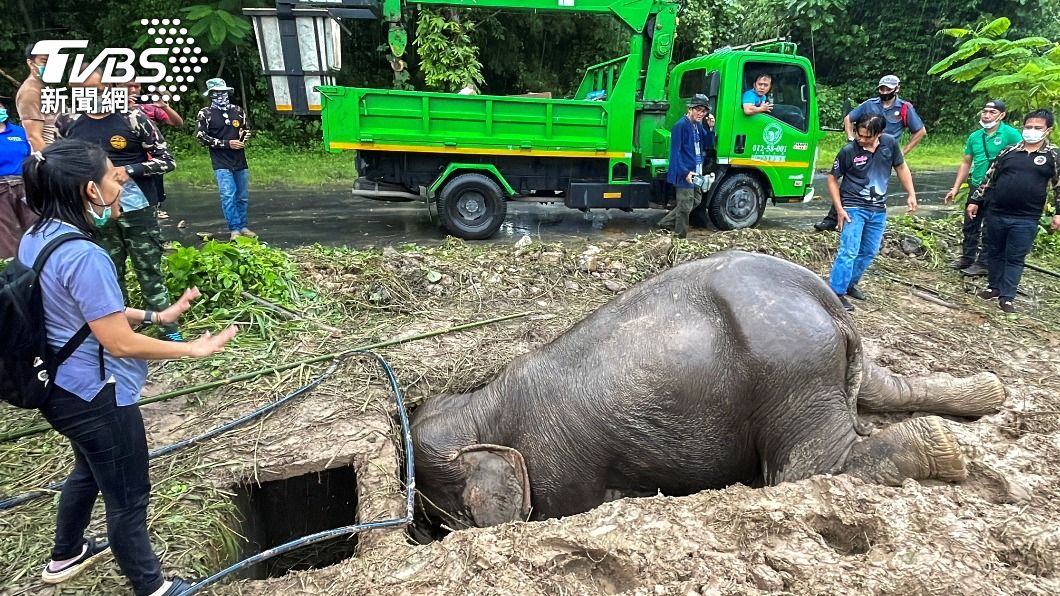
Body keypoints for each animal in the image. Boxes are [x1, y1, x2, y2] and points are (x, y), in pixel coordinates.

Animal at [410, 251, 1005, 529]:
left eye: (448, 516)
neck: (482, 406)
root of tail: (824, 296)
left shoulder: (561, 471)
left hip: (791, 375)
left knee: (806, 469)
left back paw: (945, 449)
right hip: (824, 362)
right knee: (885, 389)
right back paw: (989, 395)